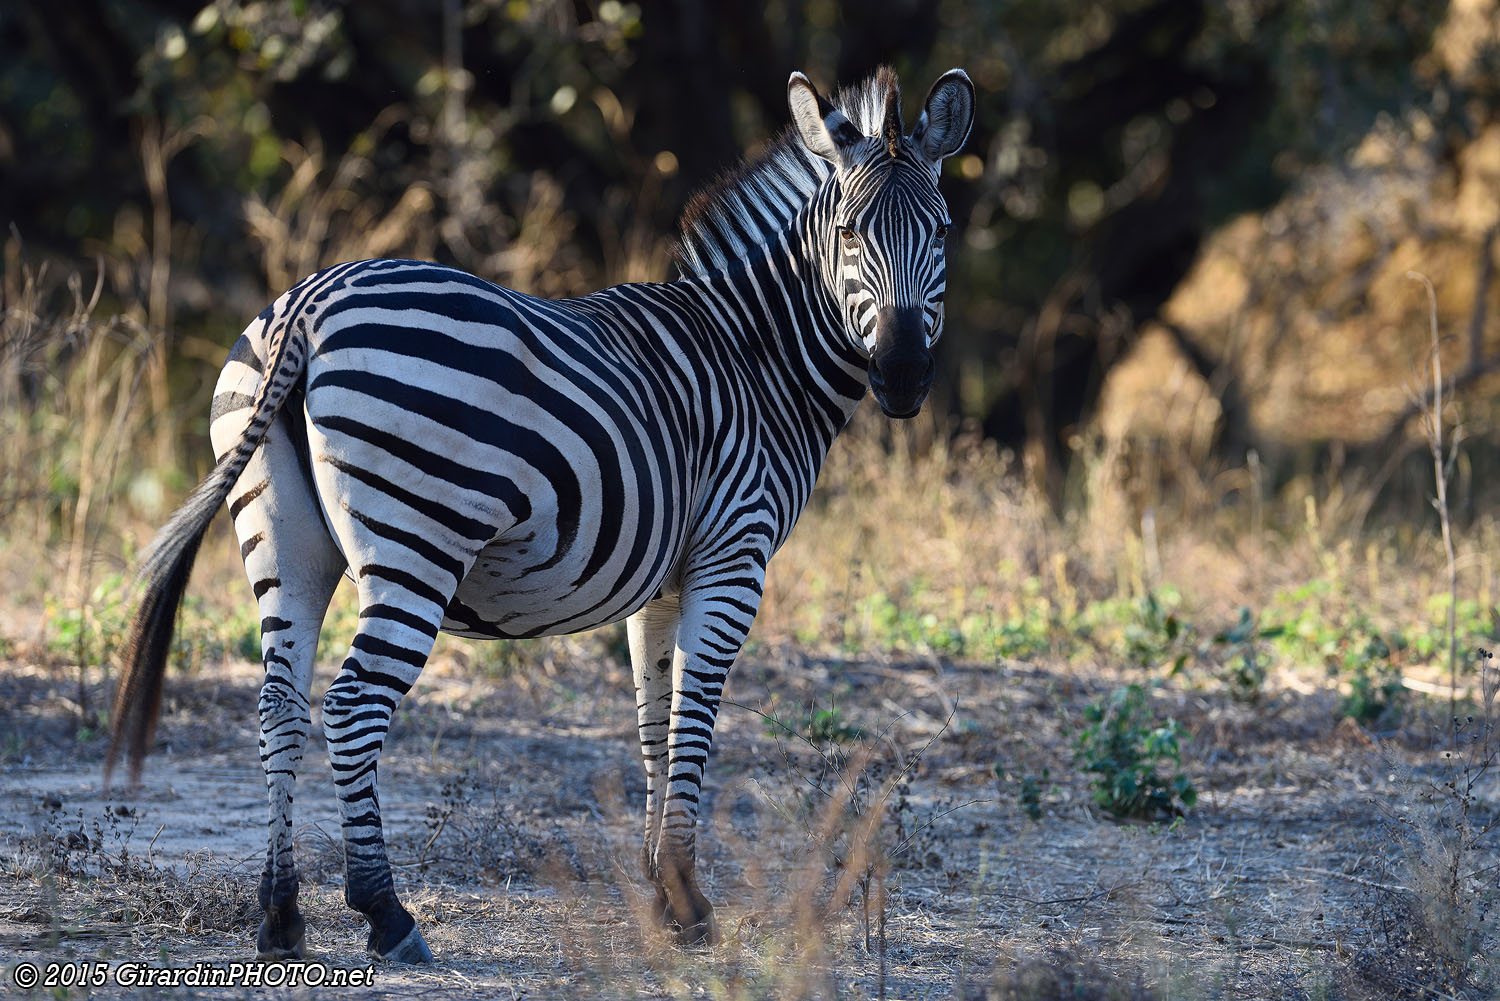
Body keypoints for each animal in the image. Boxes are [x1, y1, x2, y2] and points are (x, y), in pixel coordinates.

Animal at [107, 65, 974, 962]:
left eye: (943, 232)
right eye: (848, 232)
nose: (903, 377)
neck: (755, 357)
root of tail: (310, 303)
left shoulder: (662, 584)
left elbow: (654, 720)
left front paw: (661, 891)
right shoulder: (733, 557)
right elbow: (694, 715)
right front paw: (690, 900)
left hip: (281, 540)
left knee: (280, 705)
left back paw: (280, 917)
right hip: (417, 543)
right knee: (350, 706)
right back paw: (386, 912)